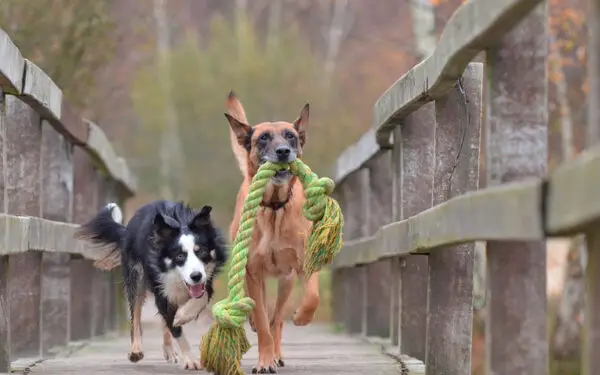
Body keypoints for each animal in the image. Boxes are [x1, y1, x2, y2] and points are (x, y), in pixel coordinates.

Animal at [74, 201, 226, 372]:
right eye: (180, 256)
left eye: (201, 252)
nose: (196, 276)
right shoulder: (160, 286)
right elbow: (174, 328)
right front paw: (191, 359)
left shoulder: (207, 279)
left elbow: (201, 297)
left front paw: (183, 315)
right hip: (136, 277)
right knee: (136, 316)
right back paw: (136, 350)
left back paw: (169, 349)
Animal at [225, 92, 322, 374]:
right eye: (264, 138)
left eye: (290, 136)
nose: (283, 151)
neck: (275, 207)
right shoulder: (253, 272)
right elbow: (261, 320)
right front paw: (264, 360)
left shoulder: (304, 264)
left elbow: (312, 297)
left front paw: (301, 317)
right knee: (263, 316)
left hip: (285, 282)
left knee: (277, 319)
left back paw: (279, 350)